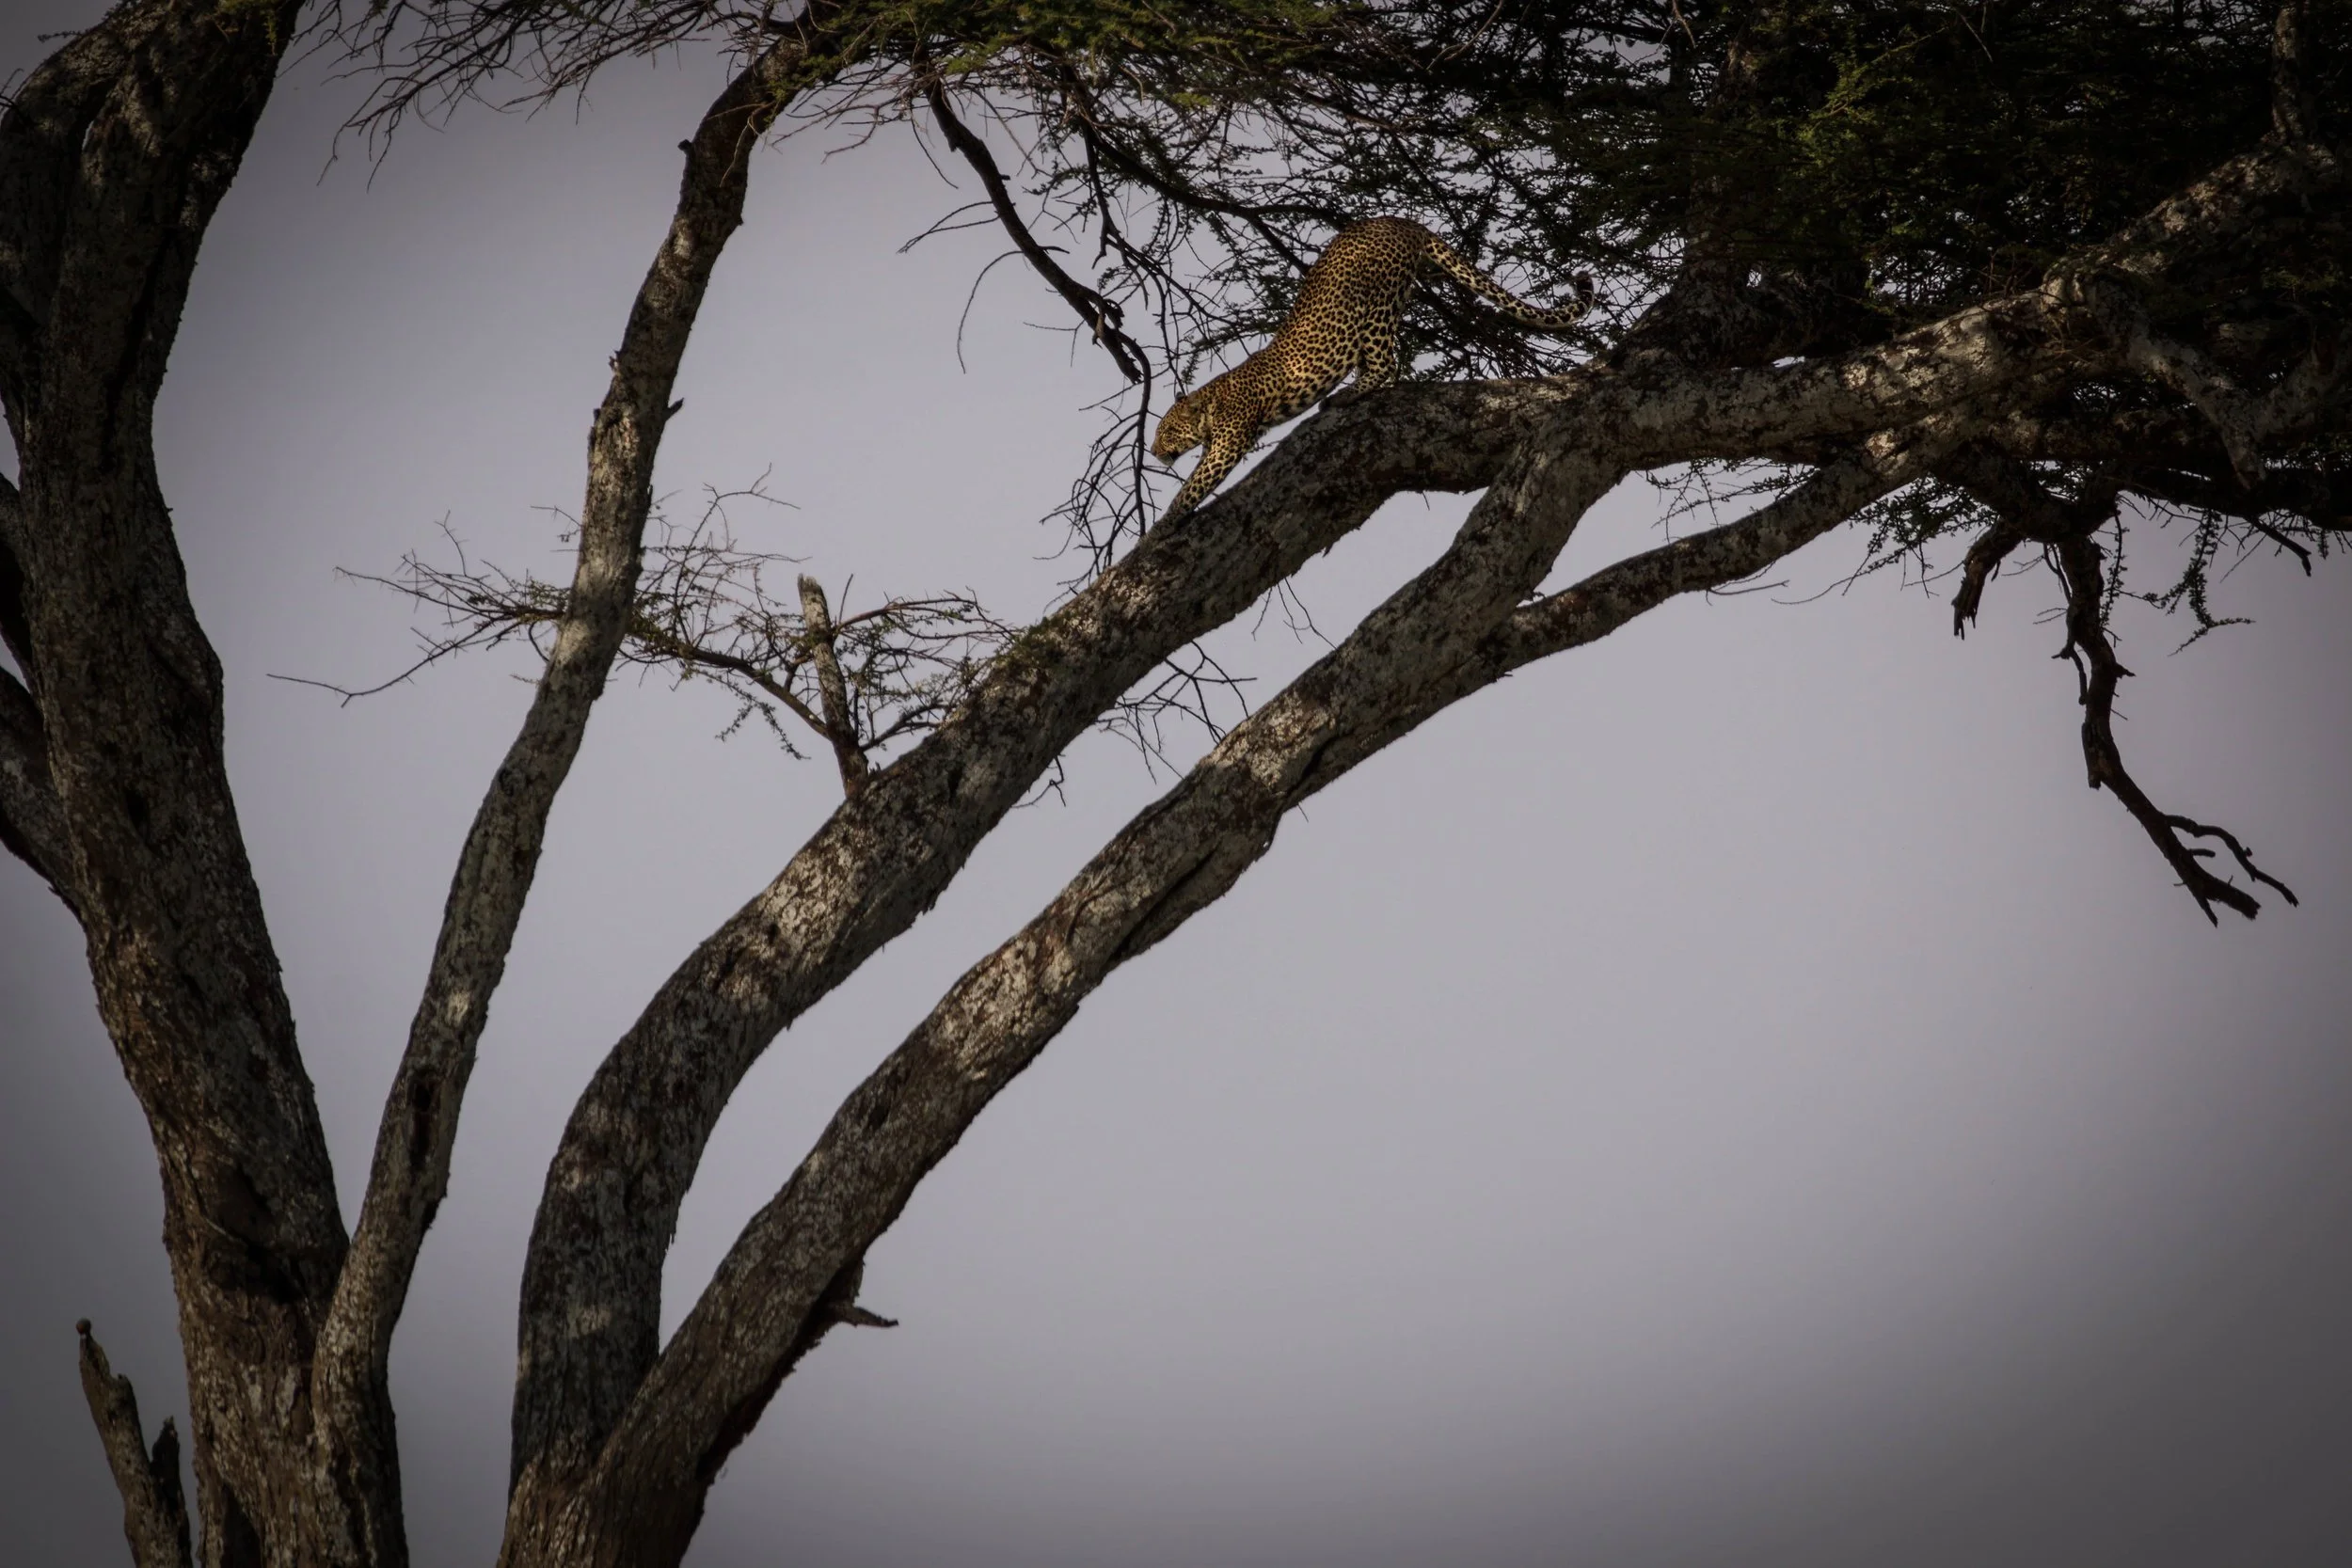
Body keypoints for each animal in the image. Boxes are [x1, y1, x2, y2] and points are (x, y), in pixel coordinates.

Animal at [1151, 217, 1596, 523]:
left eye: (1166, 431)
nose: (1154, 452)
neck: (1210, 402)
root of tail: (1399, 220)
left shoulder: (1228, 442)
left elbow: (1196, 483)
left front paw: (1164, 524)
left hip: (1375, 307)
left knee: (1387, 362)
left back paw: (1348, 394)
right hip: (1399, 291)